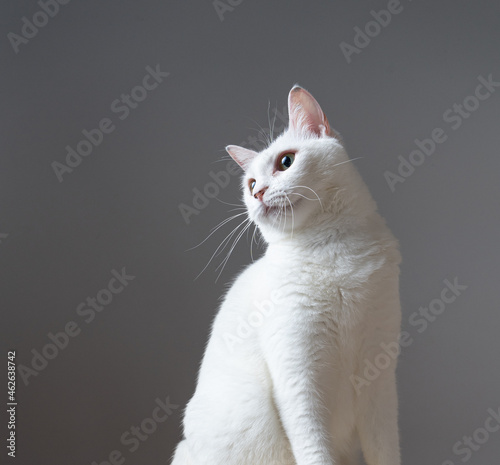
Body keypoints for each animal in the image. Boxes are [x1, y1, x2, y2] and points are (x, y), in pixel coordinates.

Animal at [171, 85, 402, 465]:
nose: (258, 193)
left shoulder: (379, 375)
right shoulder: (298, 376)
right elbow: (314, 448)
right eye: (250, 183)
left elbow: (385, 449)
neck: (332, 252)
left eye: (286, 163)